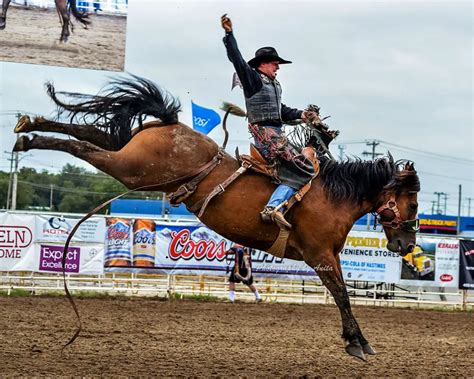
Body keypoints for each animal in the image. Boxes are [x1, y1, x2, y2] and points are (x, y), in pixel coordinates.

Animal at [11, 75, 420, 362]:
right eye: (414, 205)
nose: (407, 244)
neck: (332, 197)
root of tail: (172, 126)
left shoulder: (329, 256)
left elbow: (342, 294)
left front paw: (358, 341)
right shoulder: (320, 256)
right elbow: (342, 295)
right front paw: (358, 343)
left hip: (131, 156)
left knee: (92, 134)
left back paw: (28, 126)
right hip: (132, 169)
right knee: (84, 145)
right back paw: (28, 138)